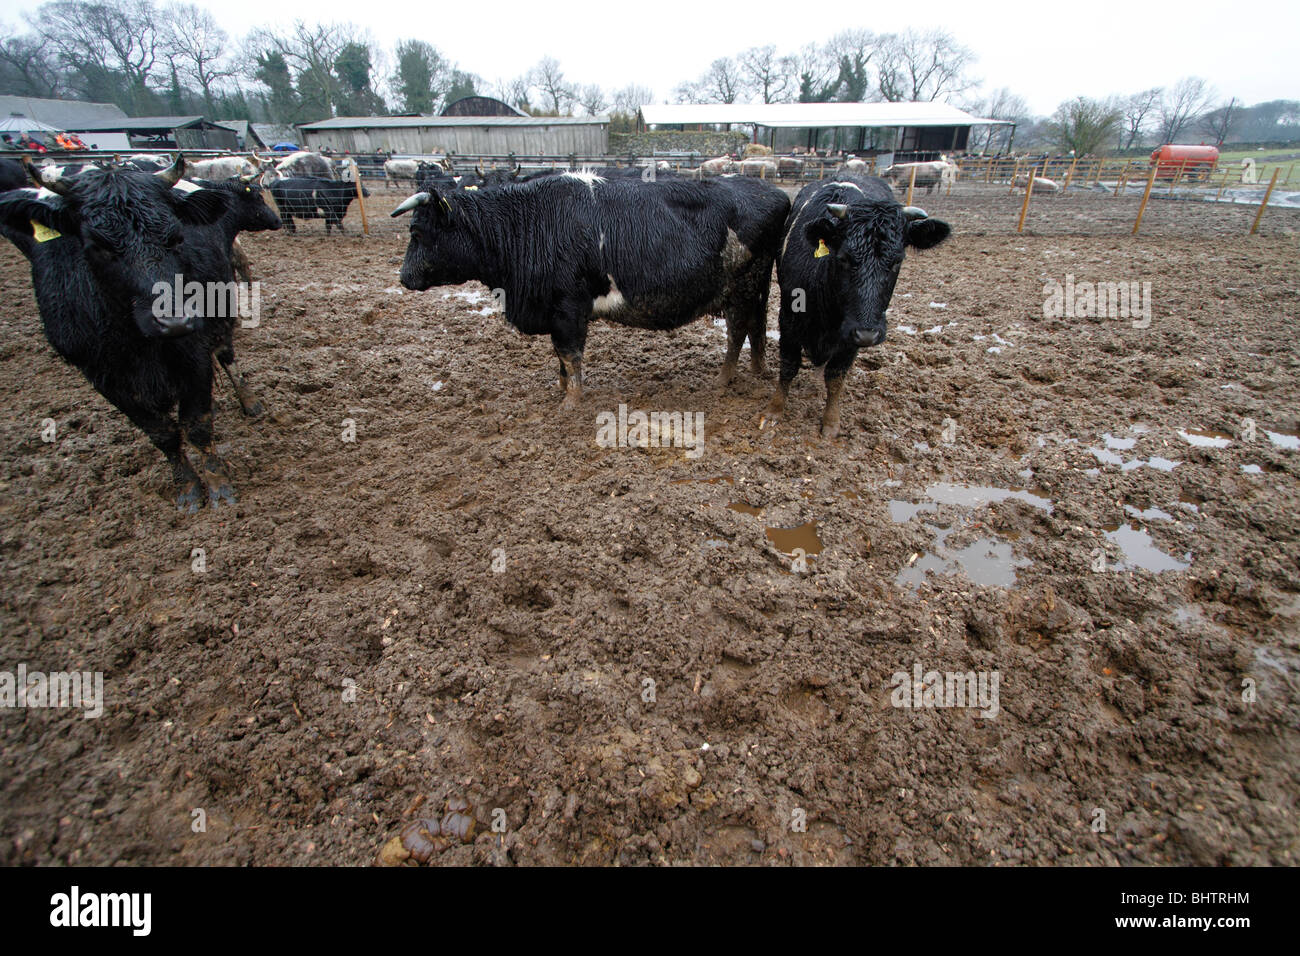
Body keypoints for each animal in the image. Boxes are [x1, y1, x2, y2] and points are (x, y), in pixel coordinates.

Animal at [0, 156, 249, 510]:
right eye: (97, 245)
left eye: (176, 237)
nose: (174, 320)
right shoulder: (103, 377)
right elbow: (163, 434)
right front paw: (187, 489)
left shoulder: (193, 353)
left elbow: (197, 425)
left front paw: (219, 488)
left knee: (226, 356)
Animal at [391, 172, 791, 407]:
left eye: (417, 232)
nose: (404, 277)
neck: (531, 223)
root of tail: (772, 192)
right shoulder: (556, 312)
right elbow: (560, 357)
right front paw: (561, 388)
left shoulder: (568, 308)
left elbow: (570, 354)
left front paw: (571, 401)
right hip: (755, 289)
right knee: (756, 327)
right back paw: (756, 371)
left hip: (741, 288)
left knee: (737, 331)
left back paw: (723, 380)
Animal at [762, 175, 950, 438]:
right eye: (844, 258)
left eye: (897, 261)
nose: (868, 334)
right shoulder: (788, 318)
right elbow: (788, 366)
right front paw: (774, 412)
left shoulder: (850, 338)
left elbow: (835, 378)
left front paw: (831, 423)